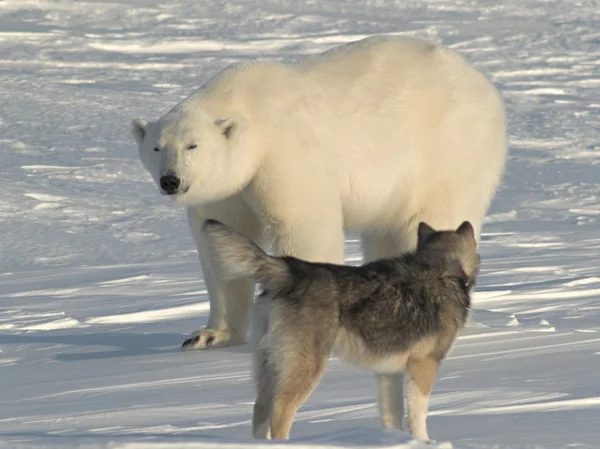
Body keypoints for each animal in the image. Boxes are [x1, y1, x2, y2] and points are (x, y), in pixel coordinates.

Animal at [131, 34, 506, 354]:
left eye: (192, 145)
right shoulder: (226, 191)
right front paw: (207, 336)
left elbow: (304, 227)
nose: (170, 181)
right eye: (157, 147)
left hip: (445, 152)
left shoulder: (283, 155)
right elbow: (220, 244)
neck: (250, 115)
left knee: (430, 218)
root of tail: (482, 83)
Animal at [204, 220, 480, 440]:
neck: (442, 266)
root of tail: (290, 270)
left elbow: (391, 414)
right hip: (306, 368)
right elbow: (418, 416)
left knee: (259, 412)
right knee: (279, 413)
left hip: (270, 367)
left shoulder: (388, 373)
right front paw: (424, 442)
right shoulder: (424, 366)